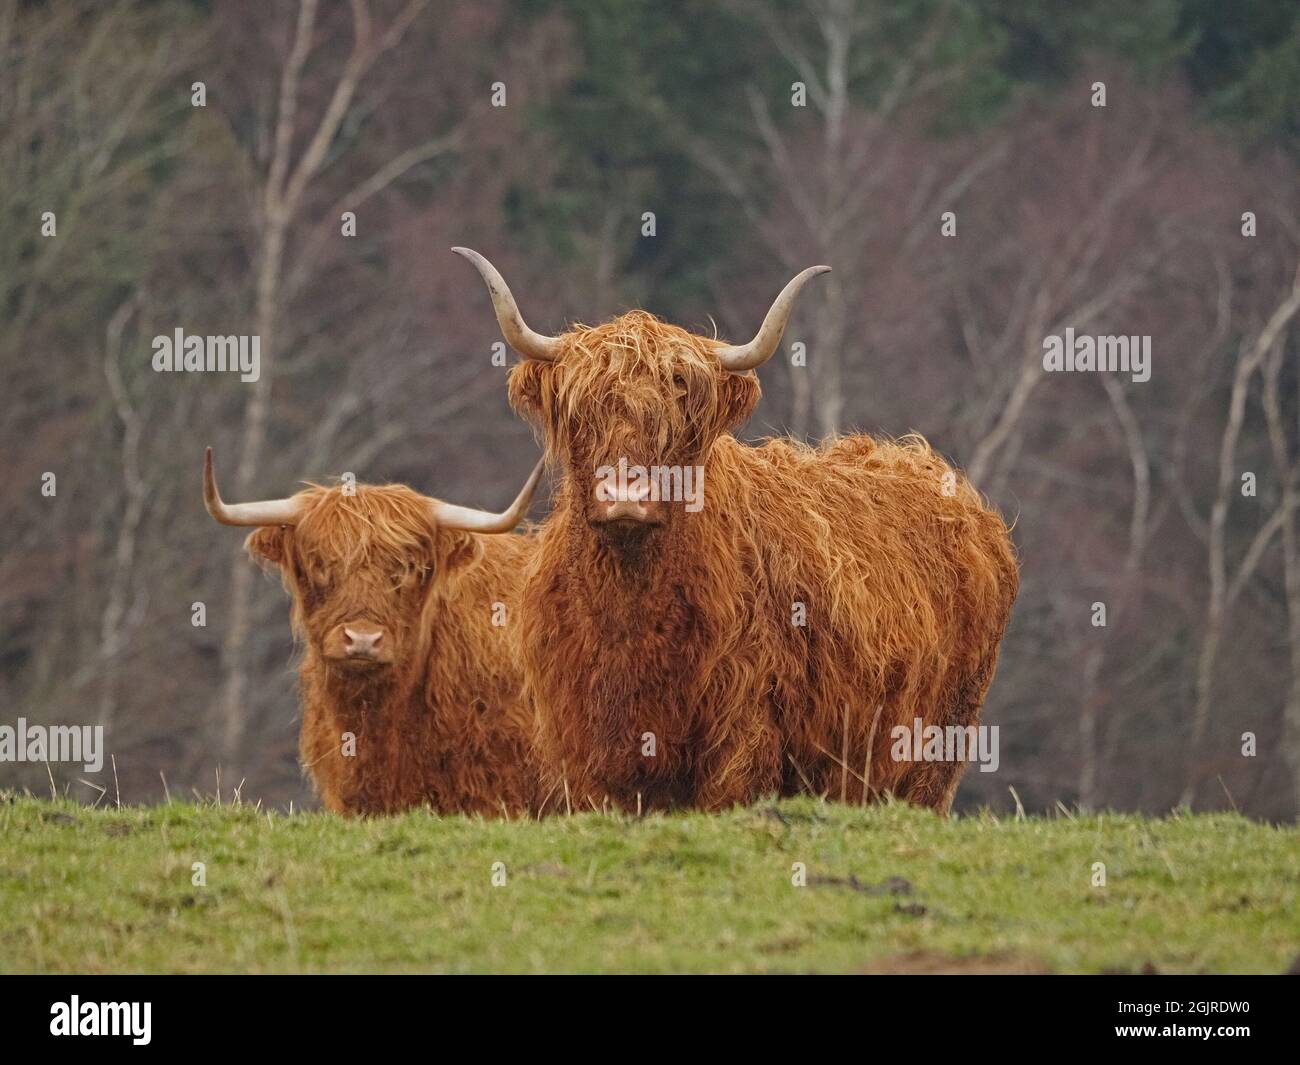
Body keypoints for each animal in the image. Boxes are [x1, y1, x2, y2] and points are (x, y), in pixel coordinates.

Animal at [460, 252, 1024, 816]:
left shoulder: (741, 731)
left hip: (938, 745)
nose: (624, 494)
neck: (632, 611)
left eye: (678, 411)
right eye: (583, 411)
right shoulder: (584, 746)